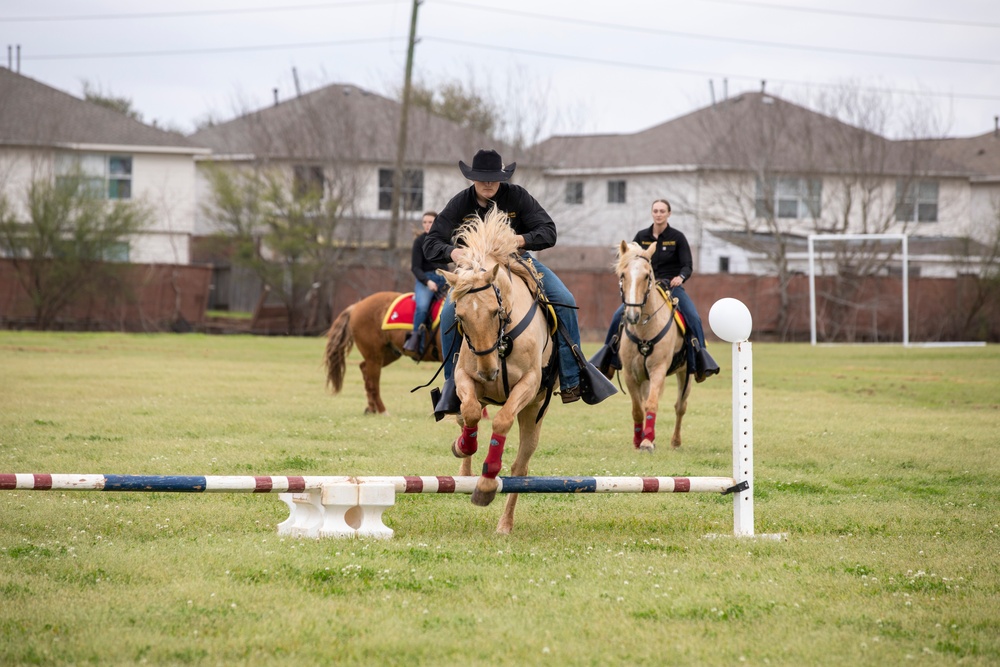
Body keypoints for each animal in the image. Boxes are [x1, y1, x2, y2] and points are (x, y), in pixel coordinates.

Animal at [442, 206, 560, 536]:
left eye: (496, 312)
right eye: (459, 317)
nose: (489, 372)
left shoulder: (529, 385)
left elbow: (502, 421)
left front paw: (485, 485)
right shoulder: (464, 378)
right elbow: (469, 413)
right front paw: (463, 446)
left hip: (534, 413)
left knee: (520, 469)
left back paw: (504, 524)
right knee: (462, 416)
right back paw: (464, 467)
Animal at [612, 240, 692, 454]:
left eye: (647, 275)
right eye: (623, 275)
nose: (632, 315)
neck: (644, 330)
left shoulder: (658, 370)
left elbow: (651, 404)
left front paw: (647, 441)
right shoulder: (630, 374)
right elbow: (637, 409)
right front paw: (638, 440)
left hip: (685, 374)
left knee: (680, 406)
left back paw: (676, 441)